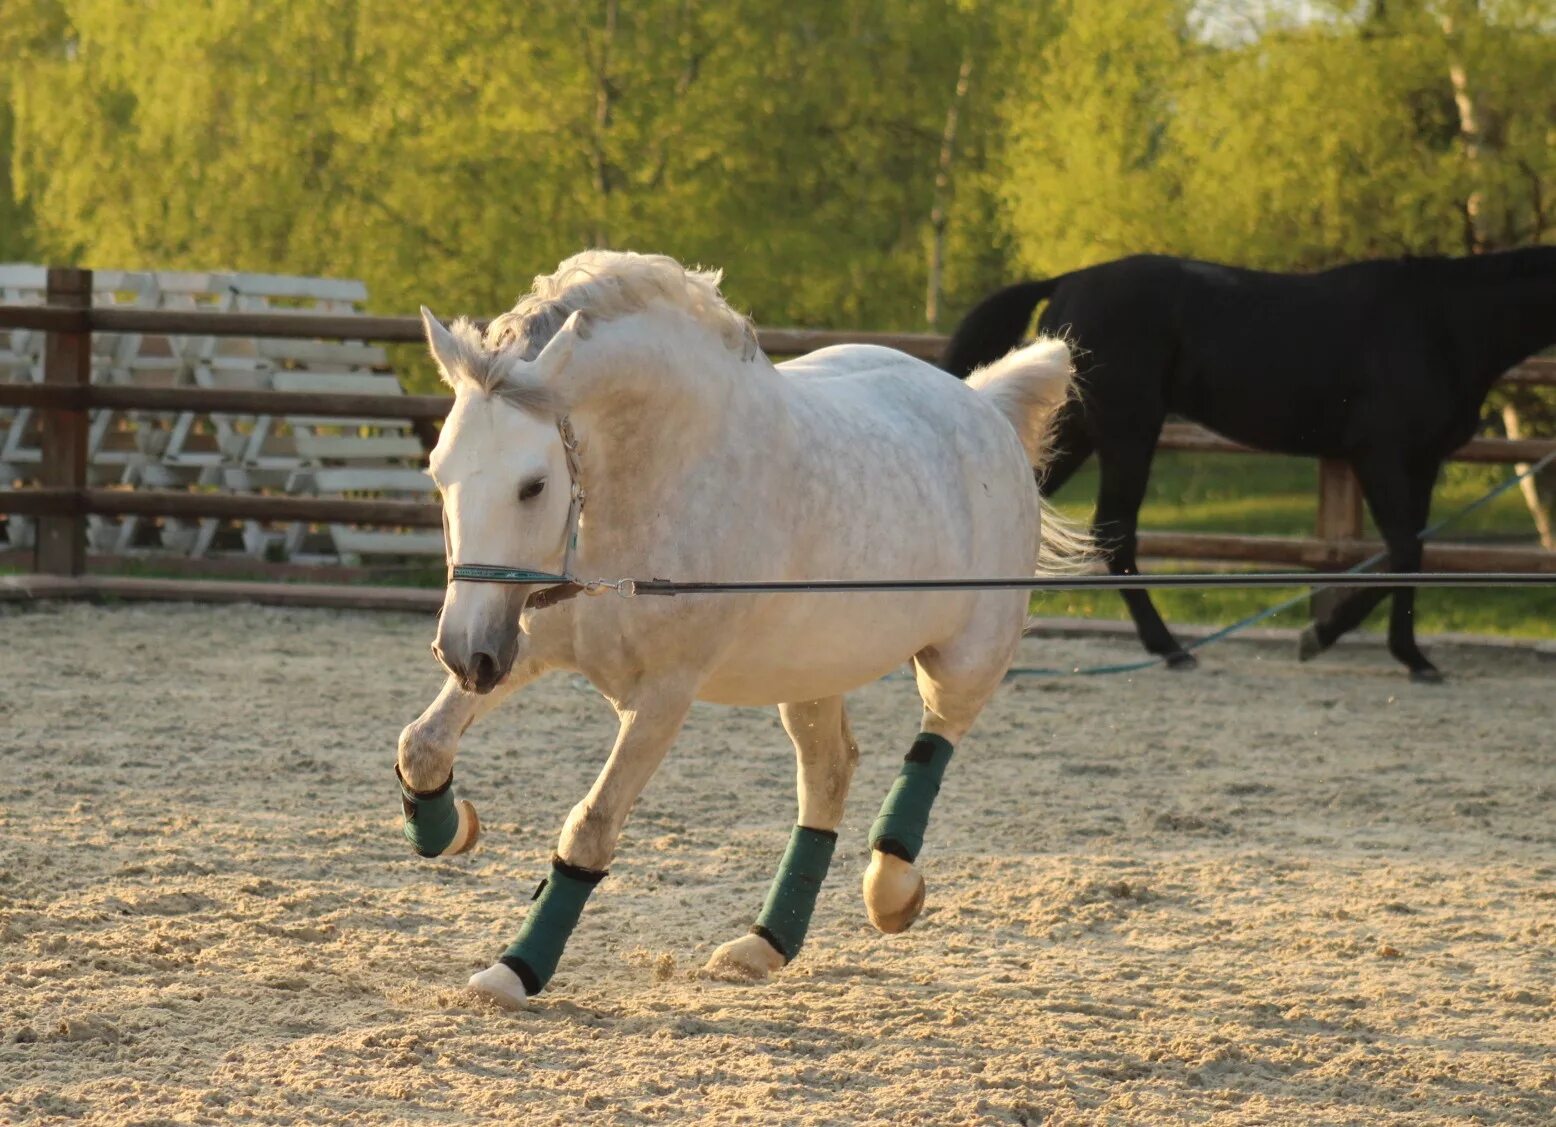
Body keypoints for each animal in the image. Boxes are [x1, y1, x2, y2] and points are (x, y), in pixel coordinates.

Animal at [395, 250, 1089, 1008]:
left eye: (533, 485)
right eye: (438, 473)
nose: (463, 654)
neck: (656, 481)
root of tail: (984, 408)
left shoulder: (663, 695)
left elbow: (591, 828)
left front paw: (516, 969)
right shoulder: (526, 641)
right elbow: (422, 745)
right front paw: (452, 828)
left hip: (964, 659)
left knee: (934, 741)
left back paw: (891, 890)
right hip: (809, 671)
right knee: (829, 773)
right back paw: (765, 945)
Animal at [933, 247, 1556, 681]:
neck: (1440, 323)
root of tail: (1068, 281)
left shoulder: (1421, 464)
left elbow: (1414, 555)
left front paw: (1412, 656)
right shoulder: (1379, 455)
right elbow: (1404, 552)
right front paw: (1319, 636)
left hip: (1083, 430)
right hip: (1126, 431)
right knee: (1114, 530)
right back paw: (1171, 649)